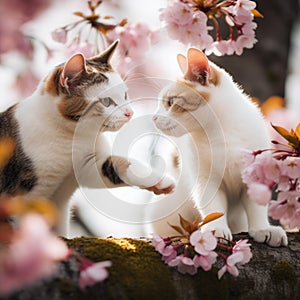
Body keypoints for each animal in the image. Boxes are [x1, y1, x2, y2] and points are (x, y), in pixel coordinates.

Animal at [0, 40, 175, 237]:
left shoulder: (87, 166)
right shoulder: (20, 190)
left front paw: (158, 180)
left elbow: (114, 165)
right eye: (106, 101)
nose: (130, 113)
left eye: (125, 95)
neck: (72, 139)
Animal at [152, 48, 288, 247]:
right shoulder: (205, 179)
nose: (153, 117)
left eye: (170, 102)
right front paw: (215, 228)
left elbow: (256, 206)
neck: (219, 134)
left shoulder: (255, 175)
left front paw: (262, 228)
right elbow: (212, 206)